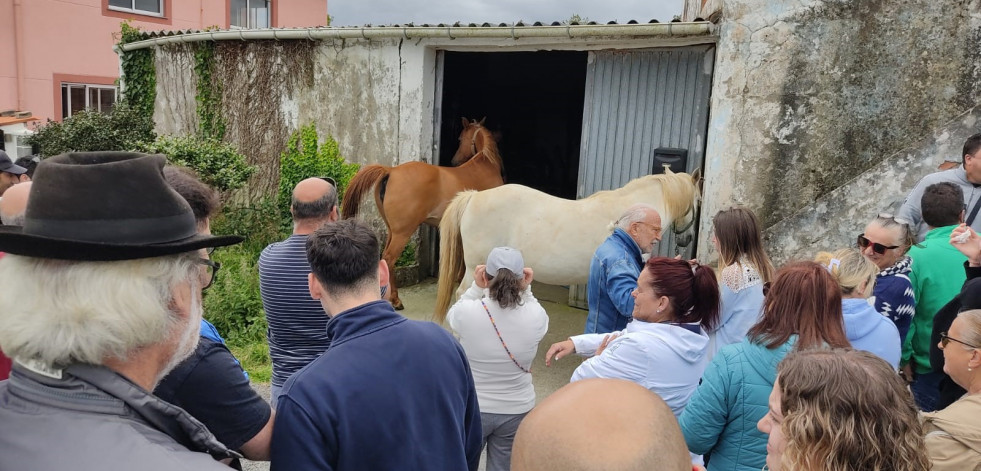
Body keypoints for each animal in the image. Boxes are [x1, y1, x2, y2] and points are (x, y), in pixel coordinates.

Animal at [340, 117, 506, 310]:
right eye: (459, 138)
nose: (455, 161)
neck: (484, 167)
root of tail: (391, 171)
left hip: (392, 230)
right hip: (402, 233)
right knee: (389, 259)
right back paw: (395, 300)